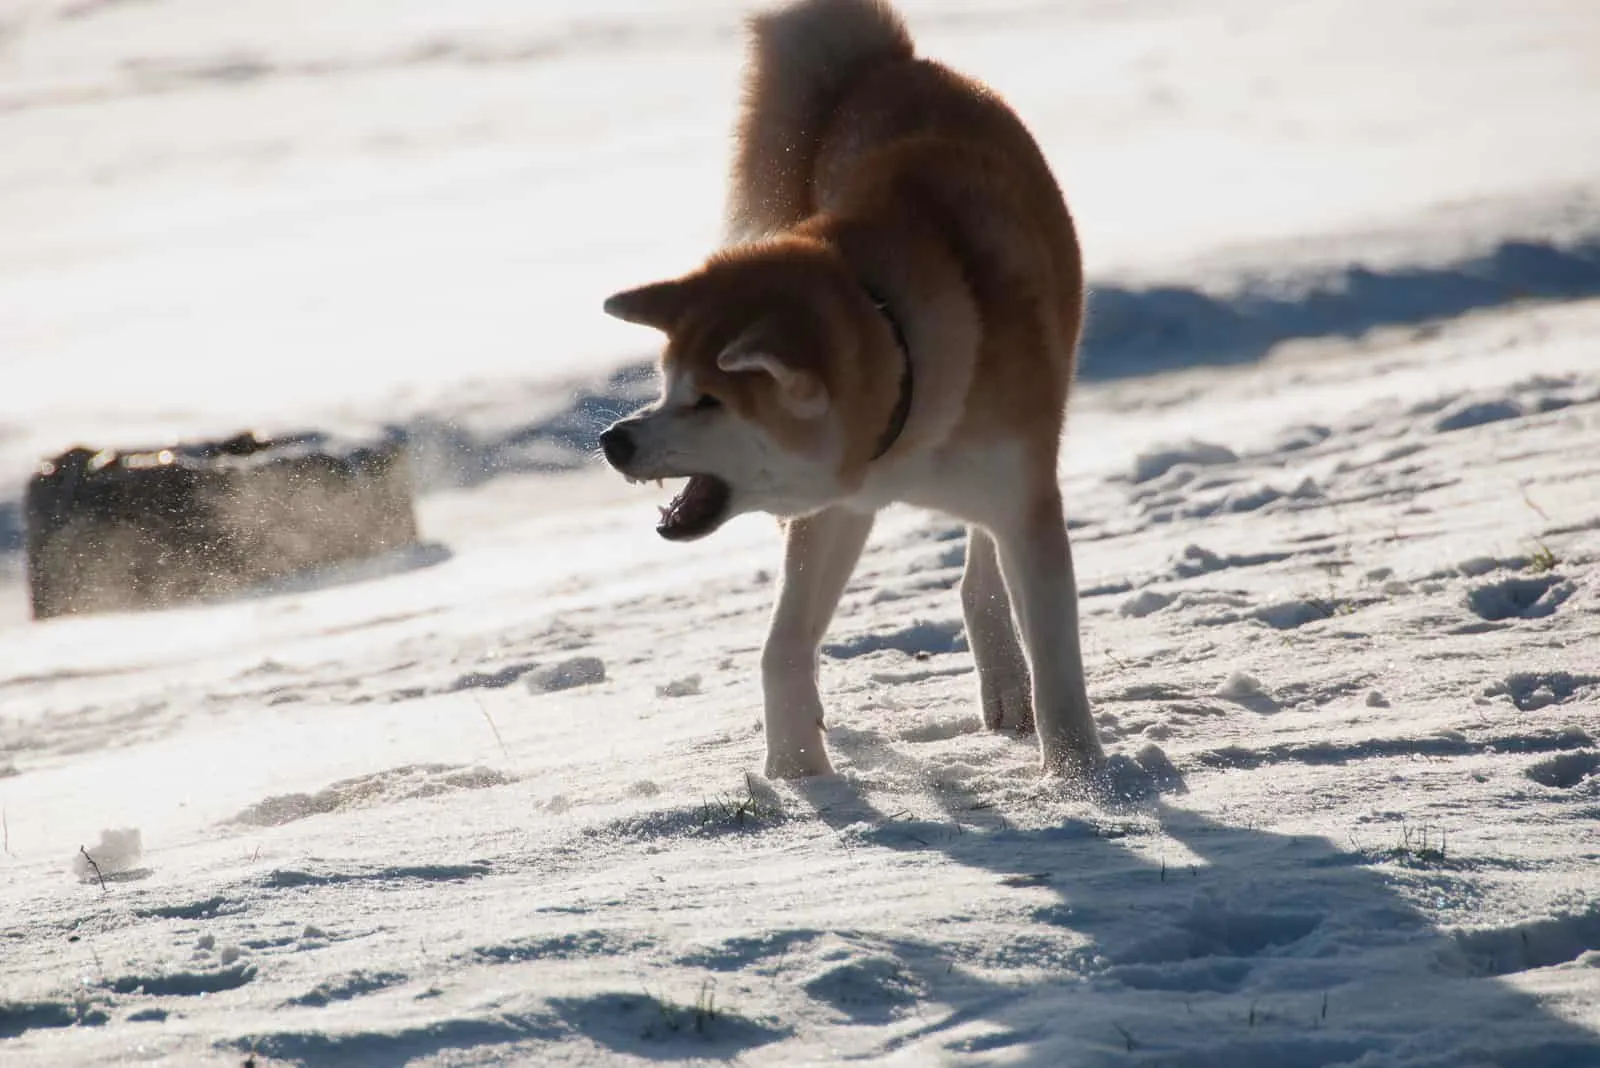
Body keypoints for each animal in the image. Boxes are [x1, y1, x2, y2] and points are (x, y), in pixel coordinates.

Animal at [595, 0, 1107, 780]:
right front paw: (798, 772)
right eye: (667, 383)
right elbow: (781, 646)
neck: (903, 345)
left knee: (978, 577)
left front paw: (1082, 782)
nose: (613, 440)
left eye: (709, 400)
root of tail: (890, 62)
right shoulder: (833, 509)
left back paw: (1006, 688)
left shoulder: (1024, 504)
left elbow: (1055, 664)